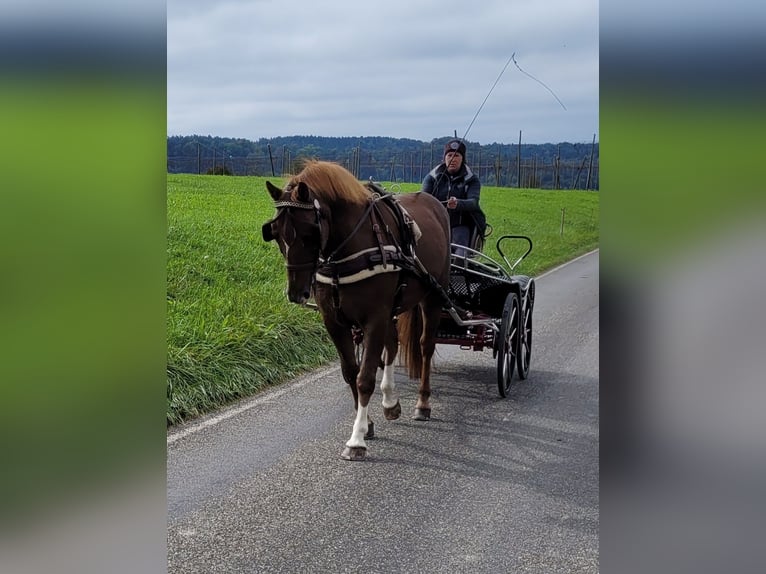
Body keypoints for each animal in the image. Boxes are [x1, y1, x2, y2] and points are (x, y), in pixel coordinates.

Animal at [264, 162, 452, 464]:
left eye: (309, 232)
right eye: (276, 233)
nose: (296, 293)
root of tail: (434, 203)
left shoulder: (374, 318)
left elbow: (365, 379)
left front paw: (356, 440)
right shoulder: (335, 321)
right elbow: (351, 372)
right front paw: (368, 424)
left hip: (432, 296)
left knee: (425, 347)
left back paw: (423, 403)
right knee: (392, 345)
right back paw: (390, 401)